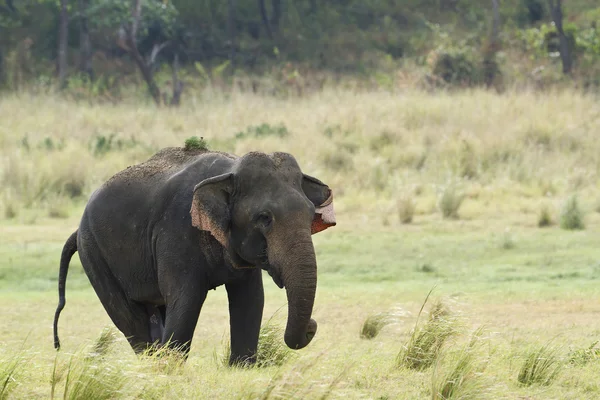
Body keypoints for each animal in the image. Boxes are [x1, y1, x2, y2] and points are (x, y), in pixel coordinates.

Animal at [52, 148, 336, 366]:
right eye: (264, 218)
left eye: (311, 215)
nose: (312, 326)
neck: (230, 170)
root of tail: (77, 231)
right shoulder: (177, 232)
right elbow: (186, 300)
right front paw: (170, 371)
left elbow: (251, 299)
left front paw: (241, 367)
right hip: (95, 255)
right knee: (129, 317)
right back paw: (149, 366)